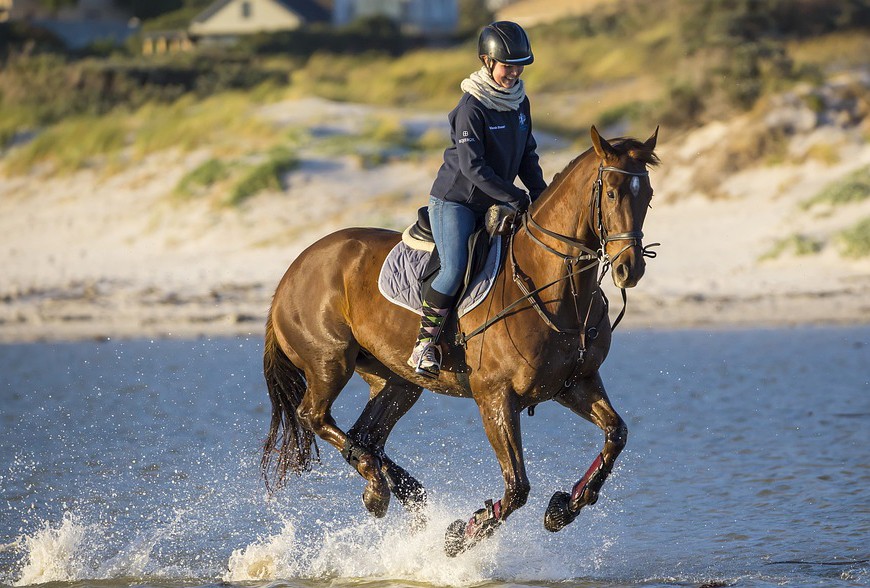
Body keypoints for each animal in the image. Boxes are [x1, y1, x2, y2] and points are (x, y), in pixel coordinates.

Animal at [261, 126, 660, 556]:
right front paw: (462, 534)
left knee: (366, 435)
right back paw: (378, 489)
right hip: (329, 362)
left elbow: (616, 434)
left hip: (397, 380)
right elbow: (517, 487)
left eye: (648, 195)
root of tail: (292, 271)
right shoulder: (496, 398)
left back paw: (399, 491)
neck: (553, 288)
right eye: (612, 194)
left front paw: (563, 508)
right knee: (315, 416)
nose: (630, 268)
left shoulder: (575, 384)